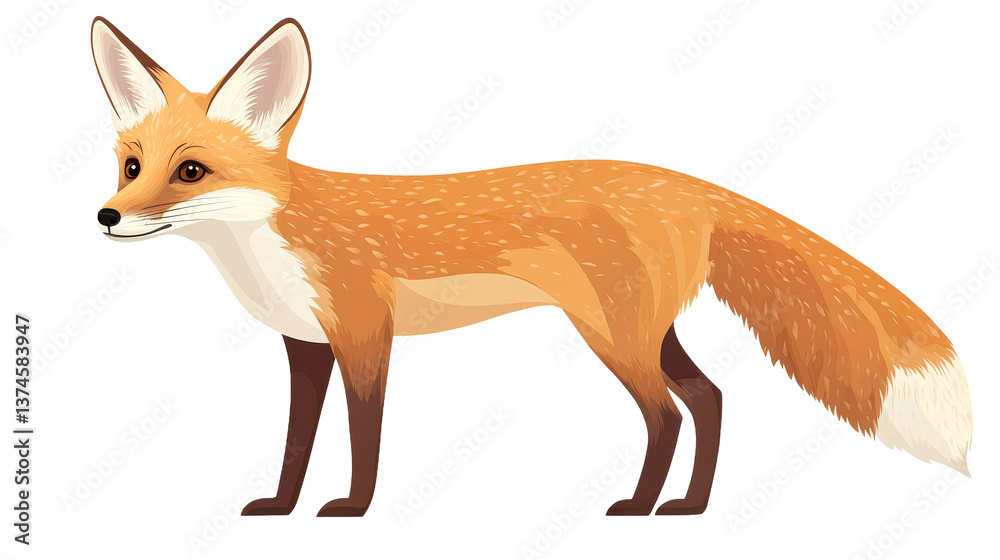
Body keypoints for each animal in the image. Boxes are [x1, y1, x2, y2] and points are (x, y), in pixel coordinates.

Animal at [90, 17, 973, 517]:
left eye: (191, 171)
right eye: (132, 165)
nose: (106, 217)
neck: (269, 242)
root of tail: (687, 183)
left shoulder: (365, 337)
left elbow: (362, 438)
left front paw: (351, 510)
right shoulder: (305, 347)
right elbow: (294, 443)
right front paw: (280, 508)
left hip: (612, 336)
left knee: (667, 415)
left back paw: (639, 507)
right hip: (646, 333)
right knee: (709, 398)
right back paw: (688, 509)